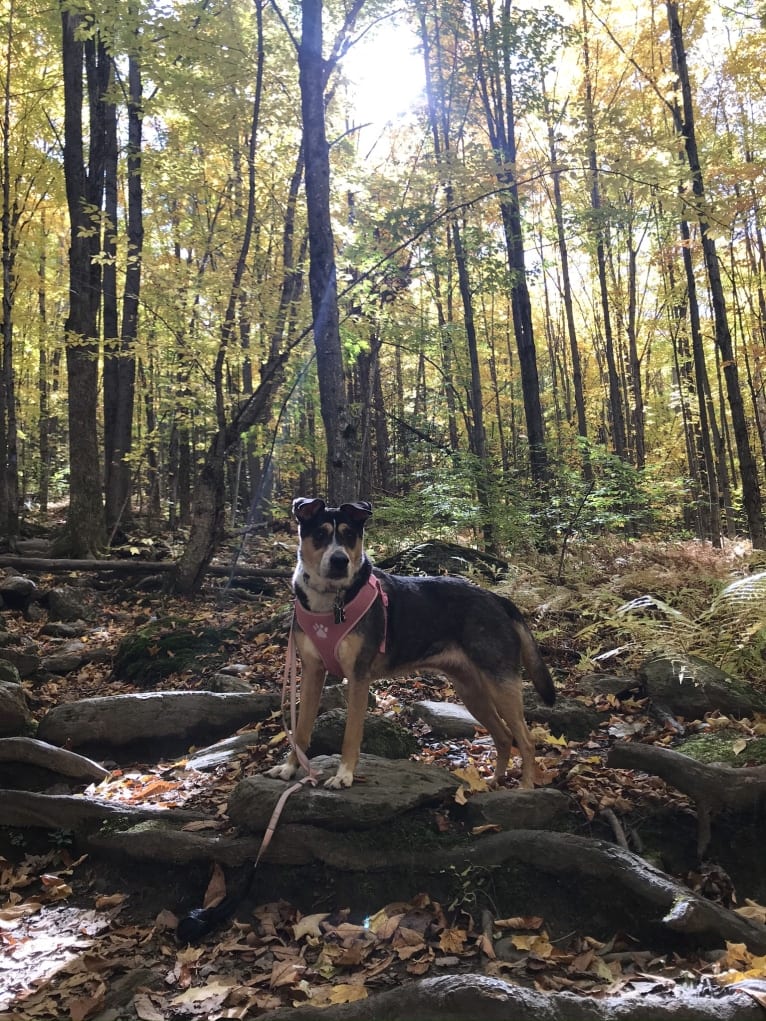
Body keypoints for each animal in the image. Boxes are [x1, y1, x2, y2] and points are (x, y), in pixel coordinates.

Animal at [269, 496, 559, 788]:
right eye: (320, 534)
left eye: (349, 535)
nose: (340, 560)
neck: (331, 602)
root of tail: (498, 599)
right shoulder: (312, 673)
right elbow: (301, 730)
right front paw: (290, 767)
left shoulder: (359, 677)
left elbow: (351, 735)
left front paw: (344, 775)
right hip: (471, 690)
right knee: (503, 736)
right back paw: (494, 780)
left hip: (500, 683)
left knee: (526, 739)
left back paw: (525, 787)